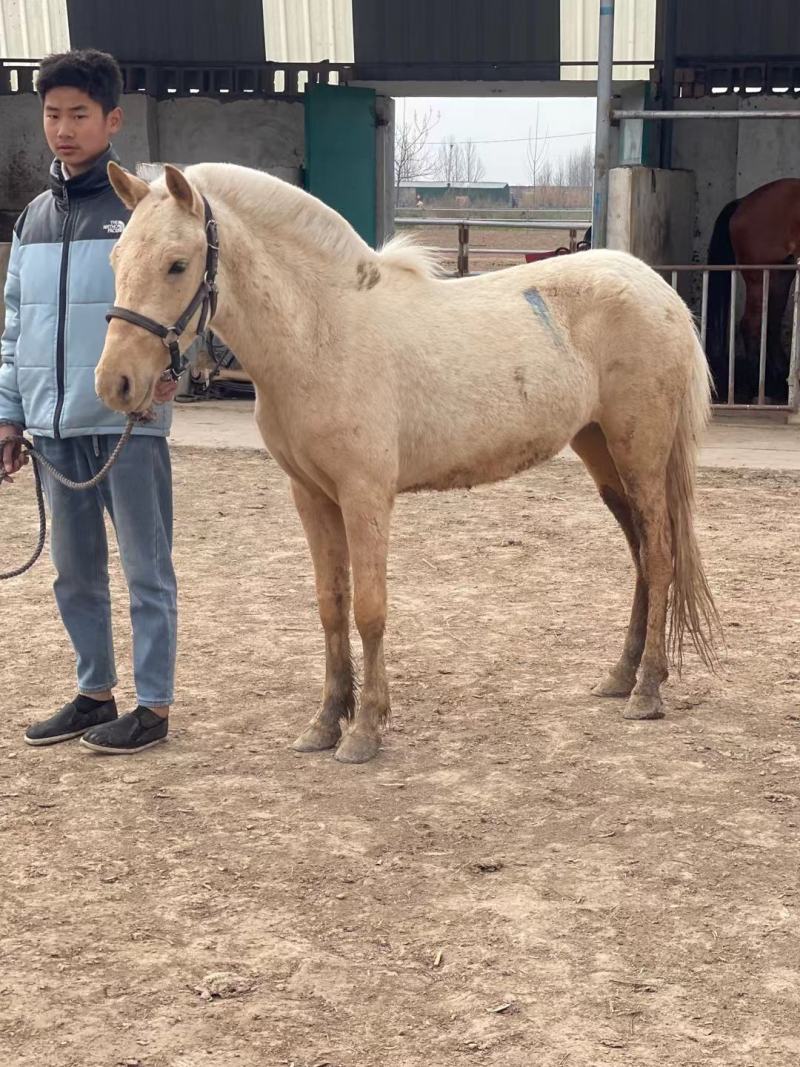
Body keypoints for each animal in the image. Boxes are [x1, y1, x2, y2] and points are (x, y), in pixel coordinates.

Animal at [96, 161, 719, 764]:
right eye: (116, 258)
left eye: (177, 265)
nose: (114, 383)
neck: (324, 333)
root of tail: (655, 289)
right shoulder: (311, 496)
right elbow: (331, 605)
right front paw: (325, 722)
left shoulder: (365, 494)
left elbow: (369, 609)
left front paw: (365, 731)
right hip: (601, 454)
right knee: (641, 558)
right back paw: (621, 676)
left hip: (640, 455)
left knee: (659, 556)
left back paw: (647, 691)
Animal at [707, 178, 800, 403]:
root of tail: (743, 202)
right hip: (760, 277)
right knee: (752, 325)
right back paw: (759, 389)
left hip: (780, 275)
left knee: (770, 323)